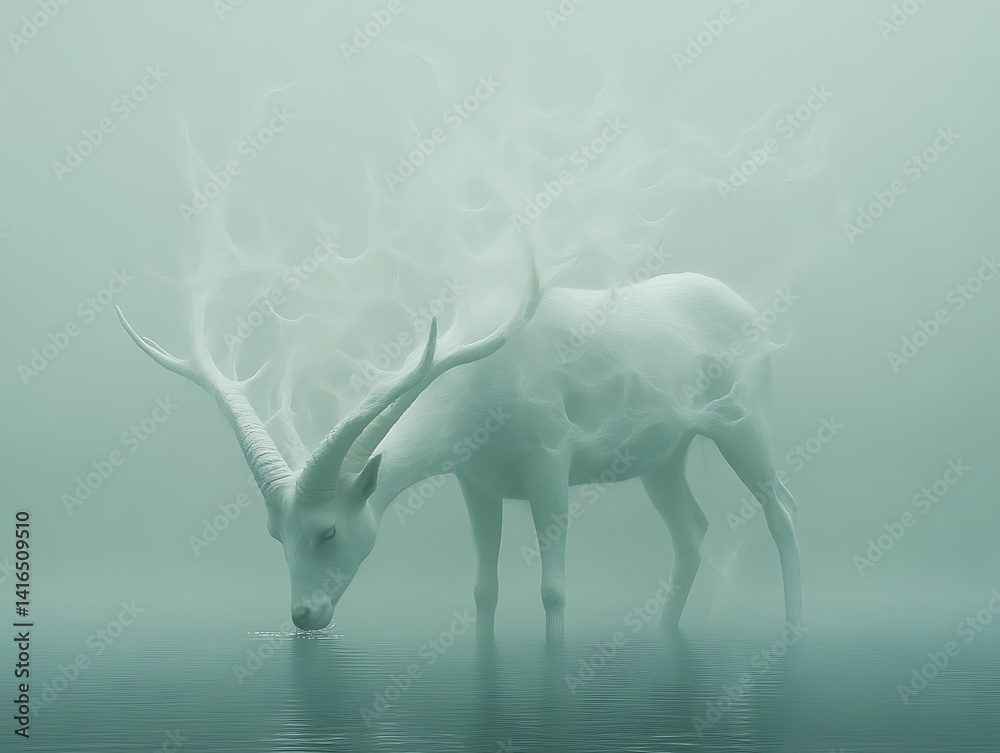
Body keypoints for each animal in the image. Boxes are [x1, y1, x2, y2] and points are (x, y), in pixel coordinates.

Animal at [116, 261, 801, 643]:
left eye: (329, 531)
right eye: (274, 535)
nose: (304, 614)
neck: (482, 399)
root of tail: (754, 314)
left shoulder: (550, 462)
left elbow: (553, 590)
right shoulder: (477, 481)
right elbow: (482, 590)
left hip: (746, 421)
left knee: (782, 511)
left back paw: (793, 629)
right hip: (664, 454)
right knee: (693, 529)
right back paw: (664, 633)